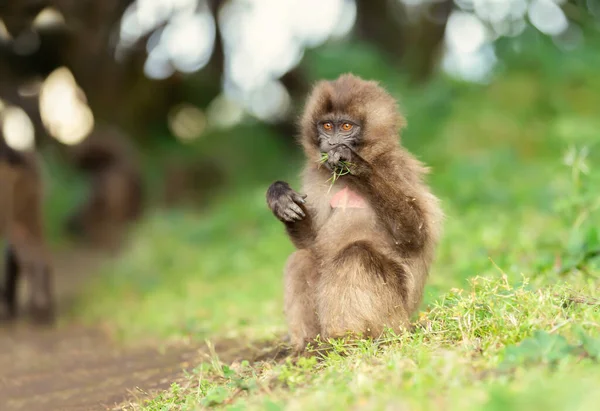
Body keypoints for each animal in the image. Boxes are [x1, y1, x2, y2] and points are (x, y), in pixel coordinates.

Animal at [264, 74, 442, 350]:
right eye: (327, 126)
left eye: (346, 127)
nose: (332, 143)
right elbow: (310, 242)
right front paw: (280, 198)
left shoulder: (395, 166)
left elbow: (415, 237)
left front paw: (357, 166)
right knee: (303, 258)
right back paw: (309, 346)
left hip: (394, 316)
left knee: (356, 255)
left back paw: (347, 340)